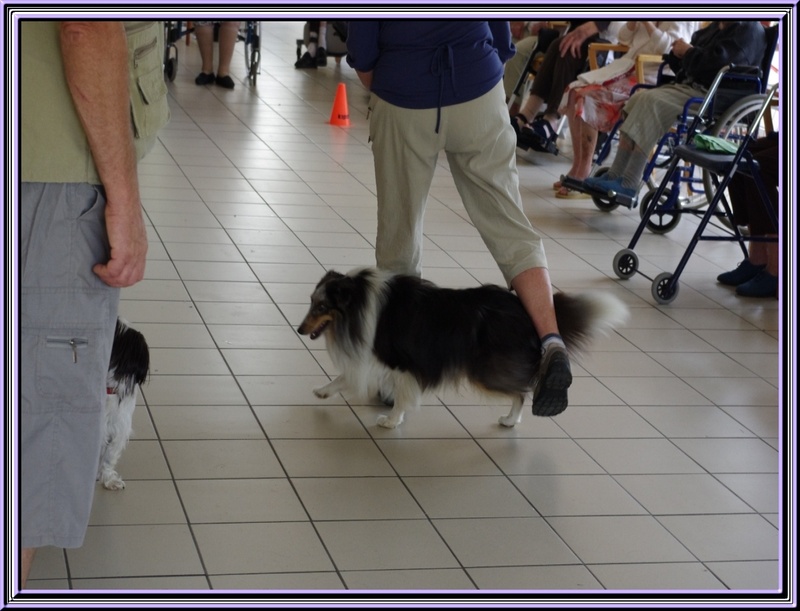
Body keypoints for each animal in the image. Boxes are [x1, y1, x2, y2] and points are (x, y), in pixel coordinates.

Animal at [296, 268, 628, 430]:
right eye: (310, 301)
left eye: (322, 306)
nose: (298, 329)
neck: (358, 303)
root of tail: (525, 311)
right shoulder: (376, 359)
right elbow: (343, 377)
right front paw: (322, 391)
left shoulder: (400, 362)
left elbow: (402, 396)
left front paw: (390, 422)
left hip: (486, 372)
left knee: (521, 392)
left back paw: (511, 420)